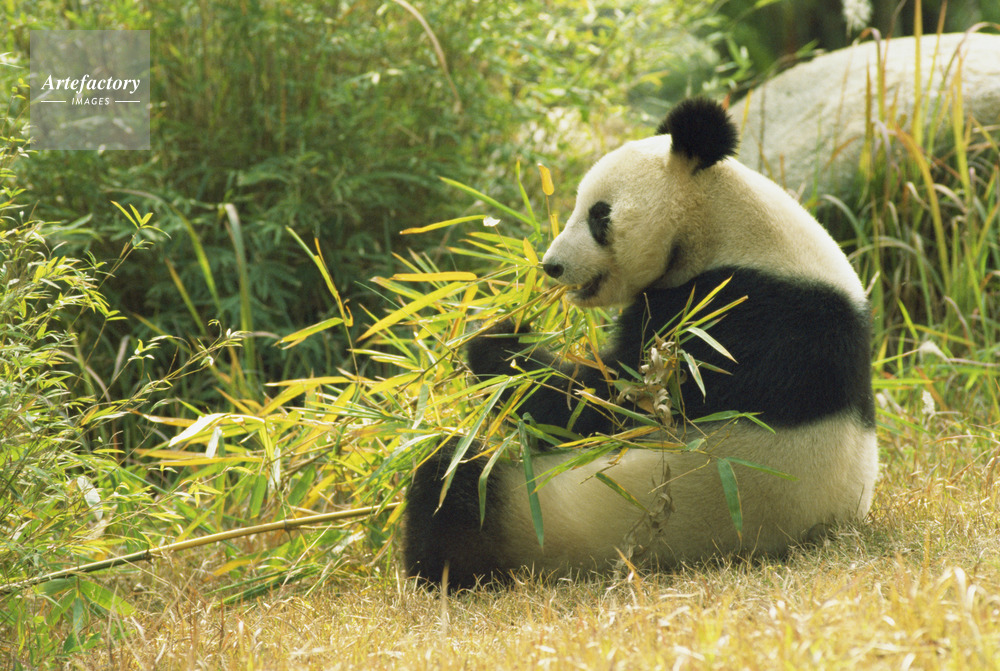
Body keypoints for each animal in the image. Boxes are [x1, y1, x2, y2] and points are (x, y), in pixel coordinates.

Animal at [402, 97, 878, 588]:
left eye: (599, 214)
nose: (551, 266)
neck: (728, 227)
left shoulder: (741, 316)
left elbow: (607, 400)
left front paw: (497, 342)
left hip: (568, 518)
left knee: (456, 483)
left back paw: (440, 566)